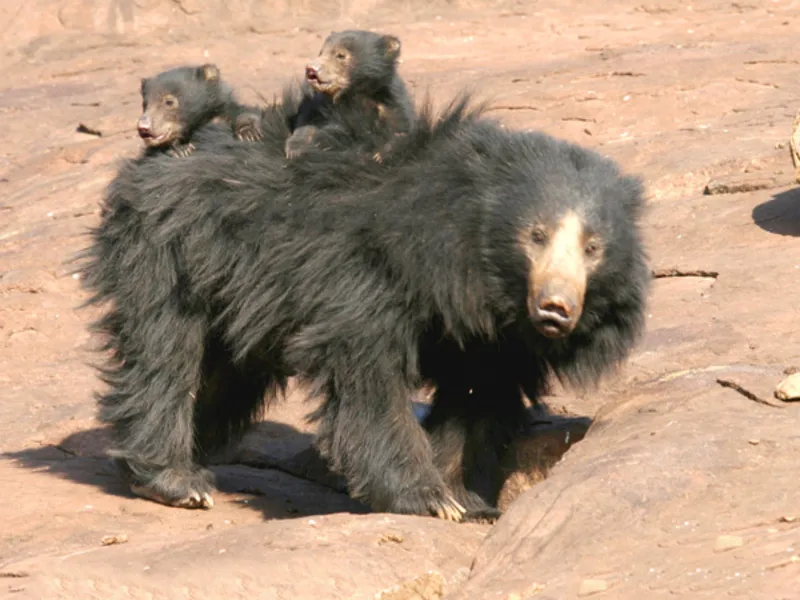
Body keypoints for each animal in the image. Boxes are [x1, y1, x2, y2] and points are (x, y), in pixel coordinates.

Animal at [79, 89, 648, 520]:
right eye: (536, 235)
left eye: (593, 247)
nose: (556, 309)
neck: (477, 277)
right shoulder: (368, 272)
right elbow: (367, 372)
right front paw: (428, 498)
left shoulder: (492, 337)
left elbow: (477, 399)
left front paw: (464, 497)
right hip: (172, 250)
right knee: (165, 352)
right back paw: (175, 480)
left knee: (226, 376)